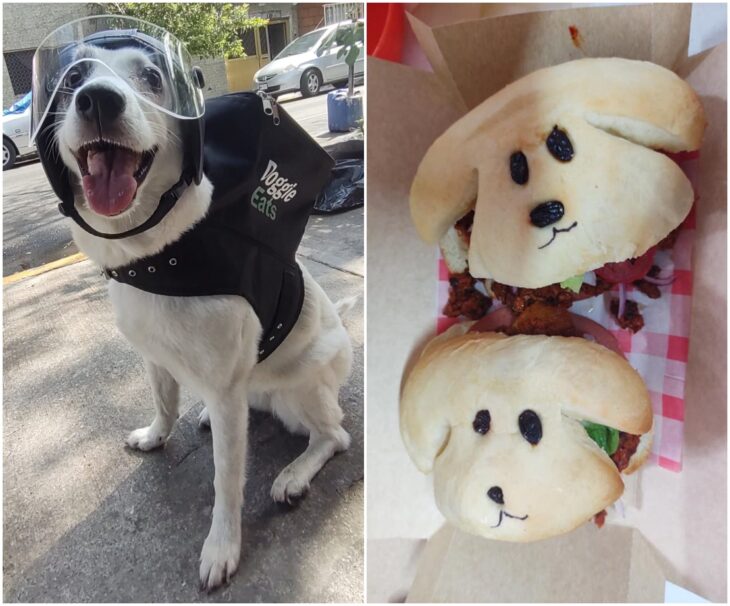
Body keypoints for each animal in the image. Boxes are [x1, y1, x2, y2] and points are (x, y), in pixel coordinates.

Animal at [51, 45, 352, 592]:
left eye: (152, 77)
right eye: (73, 77)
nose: (97, 100)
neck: (159, 253)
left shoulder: (226, 389)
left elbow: (226, 481)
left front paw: (222, 547)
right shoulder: (155, 358)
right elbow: (164, 405)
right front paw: (155, 436)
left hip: (300, 392)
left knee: (334, 436)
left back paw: (293, 476)